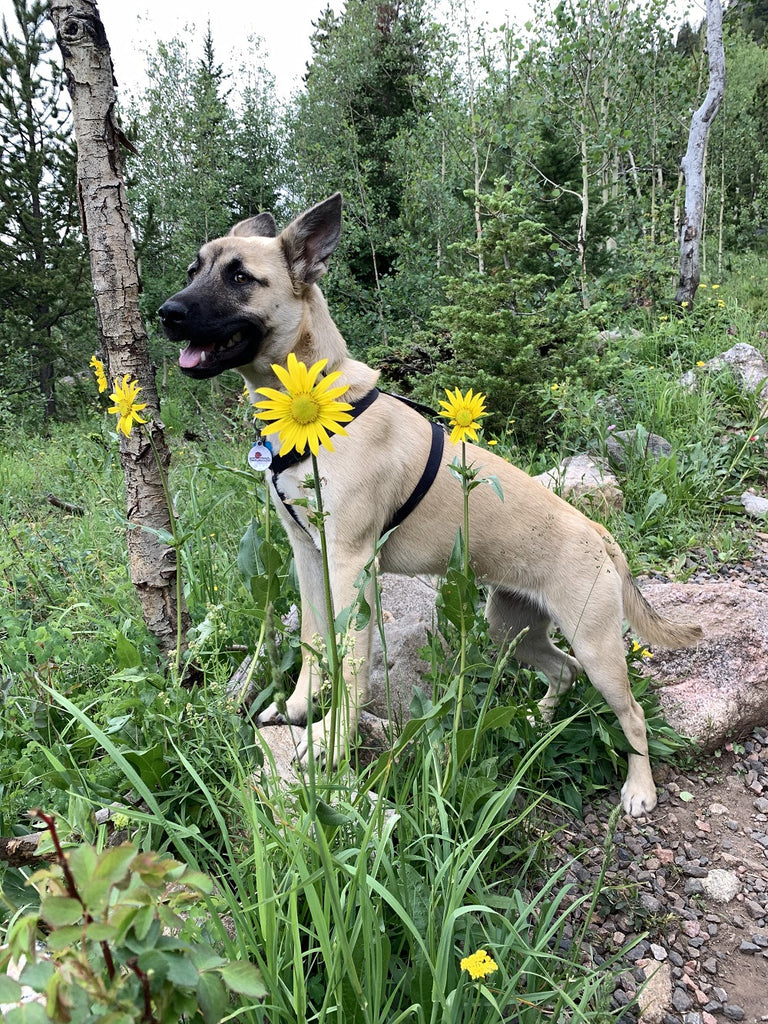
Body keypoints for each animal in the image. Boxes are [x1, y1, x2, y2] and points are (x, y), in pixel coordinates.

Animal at [160, 192, 704, 815]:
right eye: (193, 269)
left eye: (240, 277)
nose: (166, 313)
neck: (312, 407)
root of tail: (600, 535)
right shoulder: (308, 555)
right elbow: (313, 642)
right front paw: (298, 709)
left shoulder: (352, 565)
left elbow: (350, 666)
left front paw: (328, 745)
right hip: (511, 628)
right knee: (562, 673)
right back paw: (538, 718)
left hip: (597, 648)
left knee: (632, 714)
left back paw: (639, 788)